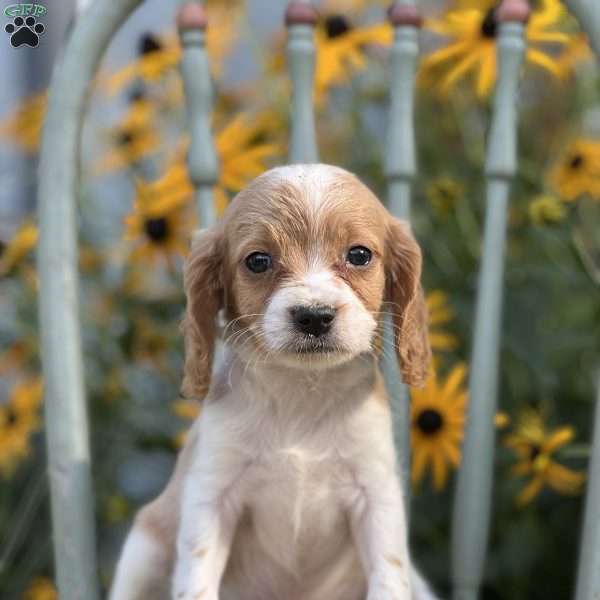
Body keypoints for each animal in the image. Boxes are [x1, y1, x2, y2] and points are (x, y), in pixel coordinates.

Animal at [110, 164, 436, 600]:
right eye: (258, 261)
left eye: (359, 255)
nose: (314, 316)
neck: (301, 388)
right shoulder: (211, 495)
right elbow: (196, 580)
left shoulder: (376, 497)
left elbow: (389, 575)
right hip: (143, 550)